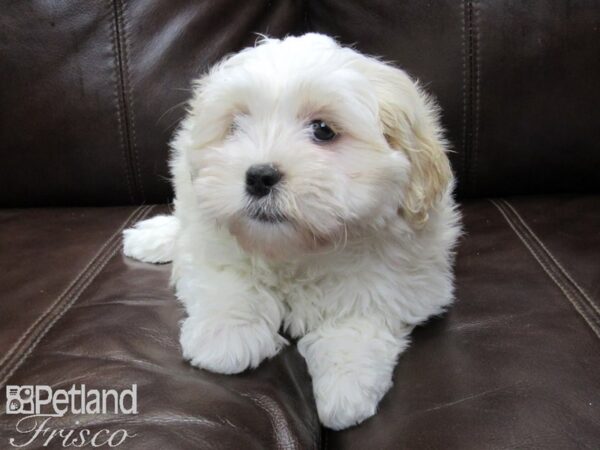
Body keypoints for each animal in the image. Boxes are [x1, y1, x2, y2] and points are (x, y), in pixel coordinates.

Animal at [120, 33, 460, 430]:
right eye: (235, 127)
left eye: (323, 130)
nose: (259, 176)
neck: (299, 250)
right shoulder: (213, 241)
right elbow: (227, 278)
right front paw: (225, 335)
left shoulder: (398, 278)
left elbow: (360, 318)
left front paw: (347, 385)